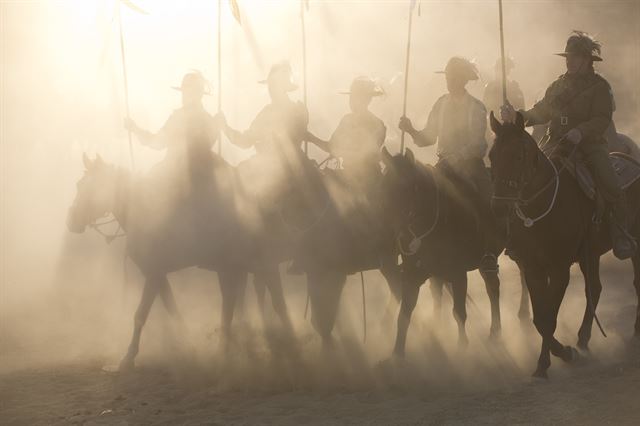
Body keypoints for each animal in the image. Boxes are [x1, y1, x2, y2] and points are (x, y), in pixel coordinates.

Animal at [66, 155, 294, 372]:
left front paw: (128, 358)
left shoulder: (154, 274)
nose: (71, 221)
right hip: (234, 268)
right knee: (235, 304)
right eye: (78, 184)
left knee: (274, 303)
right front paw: (188, 345)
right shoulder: (157, 274)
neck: (143, 212)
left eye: (92, 187)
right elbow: (172, 308)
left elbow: (140, 314)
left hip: (261, 265)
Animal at [380, 148, 504, 354]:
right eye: (383, 184)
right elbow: (405, 313)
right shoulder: (413, 274)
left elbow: (459, 312)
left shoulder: (459, 274)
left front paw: (462, 345)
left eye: (405, 187)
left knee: (494, 288)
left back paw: (497, 331)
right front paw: (398, 352)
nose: (388, 232)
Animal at [490, 111, 640, 378]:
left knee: (634, 282)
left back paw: (633, 333)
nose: (499, 206)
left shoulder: (560, 269)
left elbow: (549, 317)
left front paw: (556, 359)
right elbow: (540, 319)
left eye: (518, 156)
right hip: (591, 255)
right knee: (595, 288)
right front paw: (558, 356)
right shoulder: (533, 269)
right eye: (491, 156)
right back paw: (583, 339)